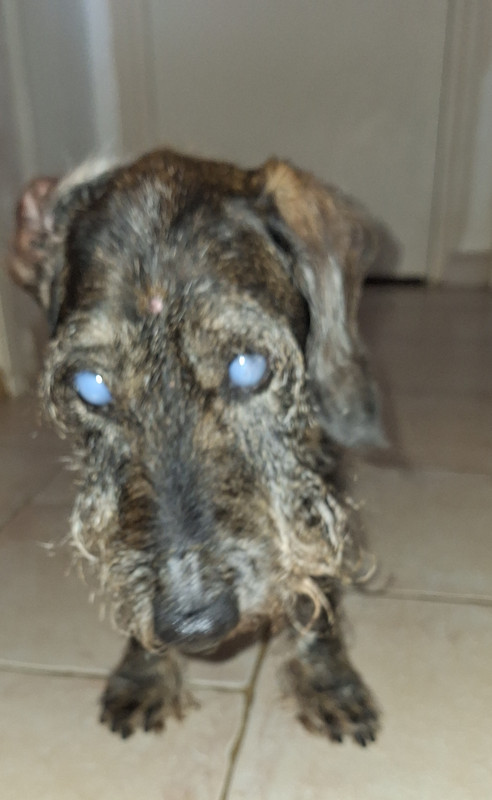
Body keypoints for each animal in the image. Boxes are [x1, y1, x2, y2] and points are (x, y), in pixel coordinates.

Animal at [9, 148, 392, 745]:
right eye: (92, 386)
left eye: (247, 366)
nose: (193, 623)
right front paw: (144, 669)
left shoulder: (311, 481)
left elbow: (318, 586)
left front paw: (327, 680)